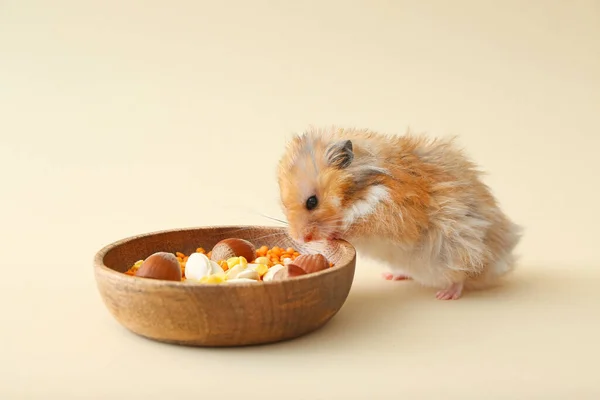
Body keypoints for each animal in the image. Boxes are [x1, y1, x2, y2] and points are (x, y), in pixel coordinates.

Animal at [276, 126, 520, 298]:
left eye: (312, 201)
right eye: (283, 204)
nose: (299, 239)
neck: (355, 193)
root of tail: (503, 259)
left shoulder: (392, 214)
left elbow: (356, 226)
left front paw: (333, 235)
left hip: (463, 249)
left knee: (462, 275)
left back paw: (446, 294)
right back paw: (392, 276)